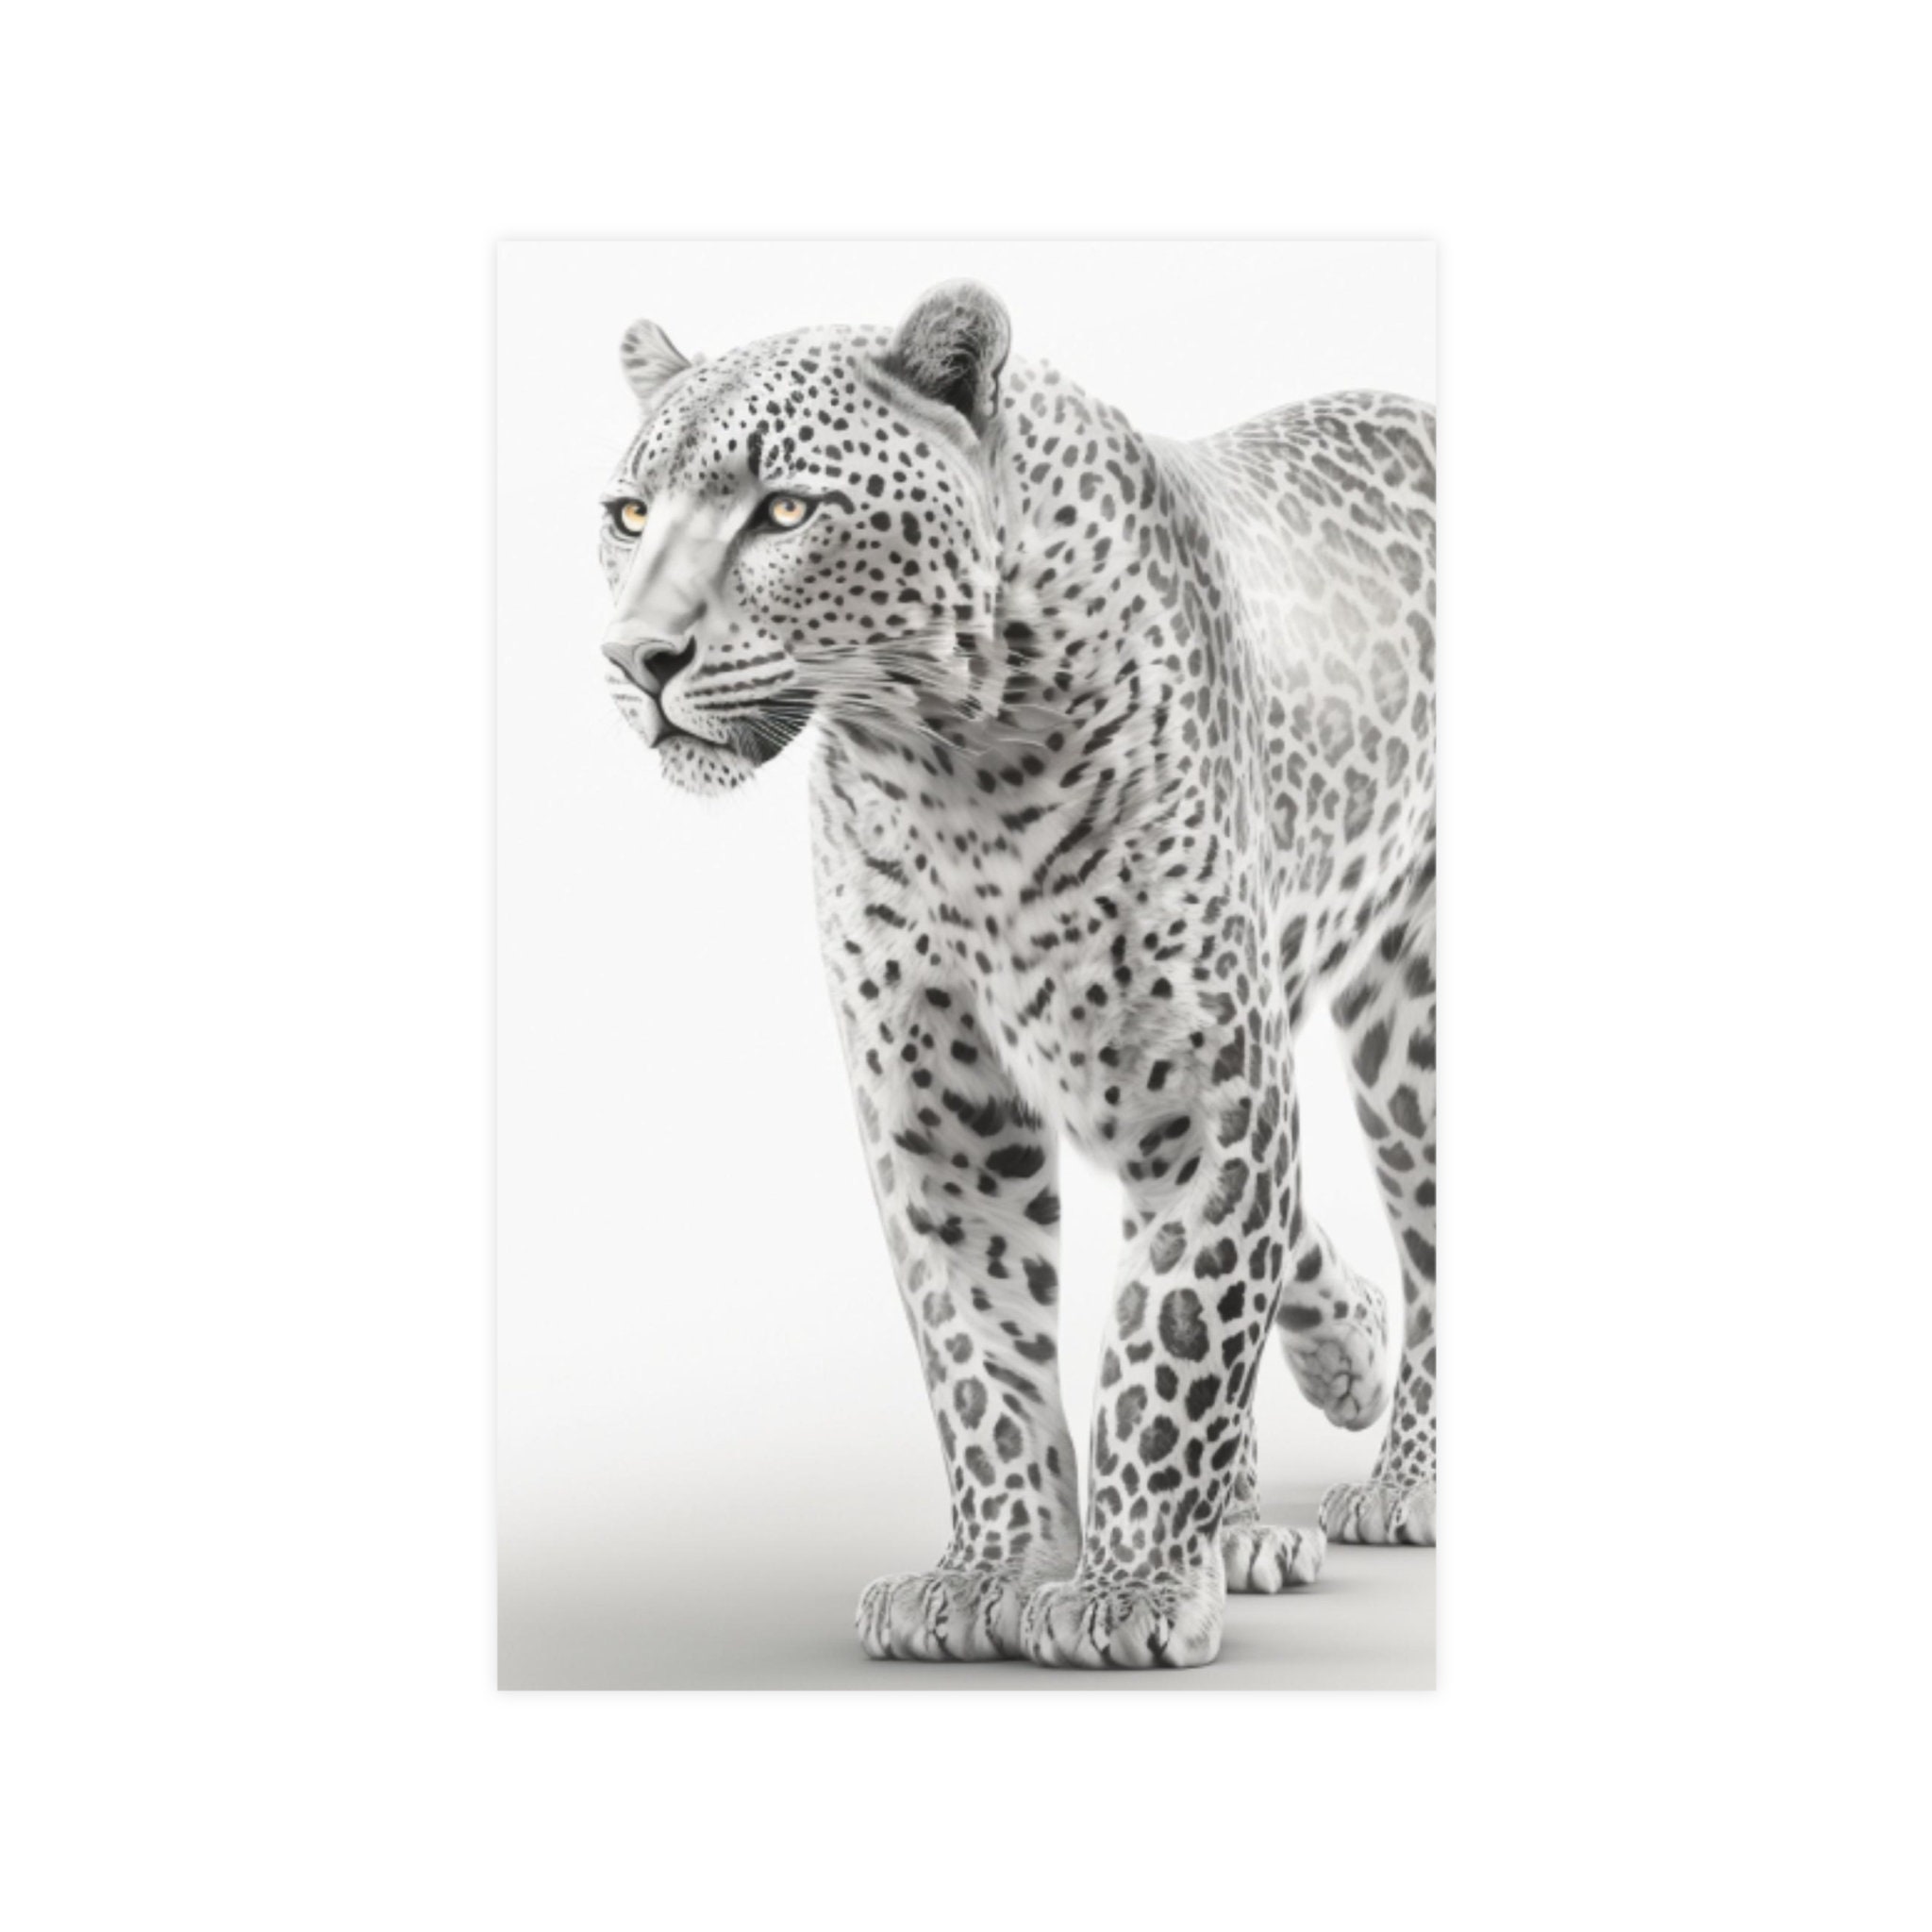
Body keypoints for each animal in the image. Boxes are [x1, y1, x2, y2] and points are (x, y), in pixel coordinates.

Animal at [597, 281, 1435, 1669]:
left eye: (784, 510)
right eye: (626, 516)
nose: (633, 660)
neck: (947, 759)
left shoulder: (1206, 1088)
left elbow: (1170, 1340)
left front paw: (1128, 1590)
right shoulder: (938, 1102)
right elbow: (976, 1345)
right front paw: (986, 1571)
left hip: (1412, 1025)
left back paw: (1403, 1476)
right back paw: (1274, 1478)